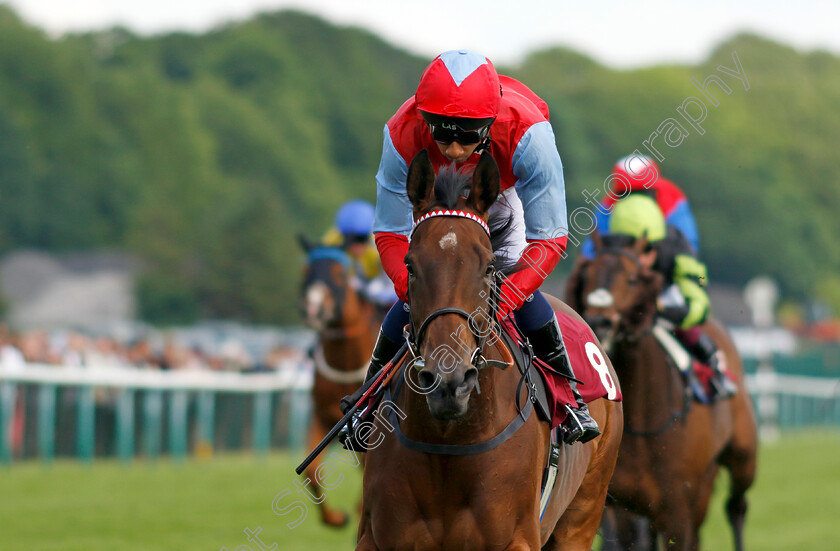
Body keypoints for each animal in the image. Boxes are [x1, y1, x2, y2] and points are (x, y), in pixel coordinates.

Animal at [296, 240, 374, 528]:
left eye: (339, 272)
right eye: (306, 270)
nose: (313, 309)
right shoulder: (322, 416)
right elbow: (312, 471)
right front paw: (336, 518)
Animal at [354, 150, 624, 551]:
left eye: (489, 267)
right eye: (409, 266)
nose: (449, 381)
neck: (449, 441)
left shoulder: (517, 538)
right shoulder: (377, 537)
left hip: (583, 514)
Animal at [568, 235, 756, 548]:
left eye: (631, 278)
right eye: (588, 274)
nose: (599, 323)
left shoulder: (676, 509)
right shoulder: (621, 505)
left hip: (743, 457)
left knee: (736, 508)